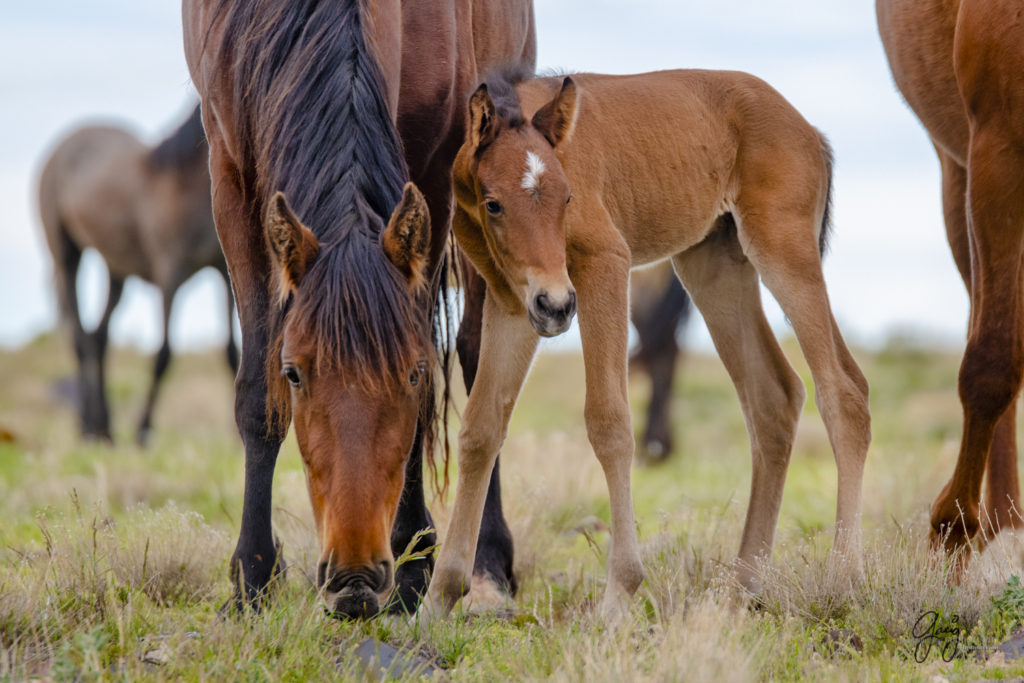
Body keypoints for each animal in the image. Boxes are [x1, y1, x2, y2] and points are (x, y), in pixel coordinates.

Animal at [38, 102, 237, 444]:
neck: (185, 184)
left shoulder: (221, 276)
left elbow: (231, 353)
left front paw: (240, 436)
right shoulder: (169, 275)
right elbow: (163, 355)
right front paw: (143, 430)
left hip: (115, 271)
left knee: (98, 339)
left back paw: (104, 429)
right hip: (65, 254)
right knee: (79, 337)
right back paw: (87, 426)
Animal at [182, 1, 536, 618]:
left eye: (412, 373)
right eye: (294, 374)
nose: (353, 581)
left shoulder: (436, 171)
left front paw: (416, 568)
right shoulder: (230, 174)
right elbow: (255, 395)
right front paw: (253, 576)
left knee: (479, 357)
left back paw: (489, 563)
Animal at [419, 68, 868, 618]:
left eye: (568, 198)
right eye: (494, 203)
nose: (558, 307)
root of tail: (808, 129)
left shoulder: (604, 266)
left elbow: (609, 422)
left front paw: (619, 595)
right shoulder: (513, 301)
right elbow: (481, 429)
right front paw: (438, 599)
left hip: (783, 249)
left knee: (844, 392)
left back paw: (843, 579)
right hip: (715, 265)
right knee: (774, 398)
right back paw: (742, 589)